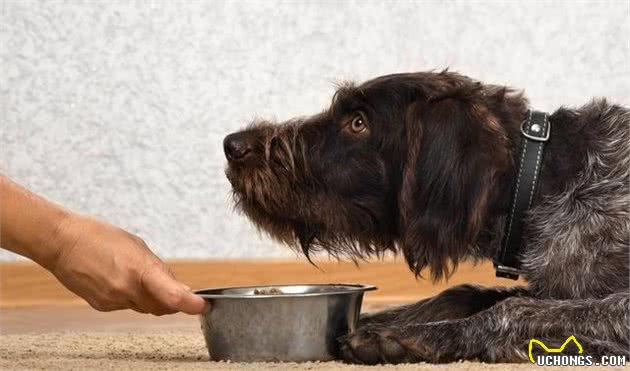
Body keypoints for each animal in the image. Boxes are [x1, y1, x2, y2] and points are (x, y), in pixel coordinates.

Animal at [221, 71, 628, 364]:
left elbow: (515, 308)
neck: (541, 178)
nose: (232, 145)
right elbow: (463, 292)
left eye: (358, 123)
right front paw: (376, 319)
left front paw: (407, 337)